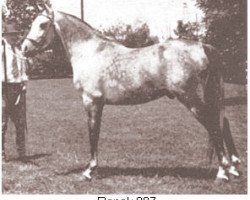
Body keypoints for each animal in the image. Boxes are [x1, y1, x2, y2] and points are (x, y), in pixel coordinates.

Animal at [21, 5, 240, 182]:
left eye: (42, 25)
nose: (24, 48)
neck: (91, 52)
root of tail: (203, 46)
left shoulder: (91, 101)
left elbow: (93, 133)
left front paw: (89, 171)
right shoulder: (98, 103)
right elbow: (95, 133)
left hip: (192, 99)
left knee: (214, 126)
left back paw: (223, 172)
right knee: (223, 122)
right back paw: (234, 167)